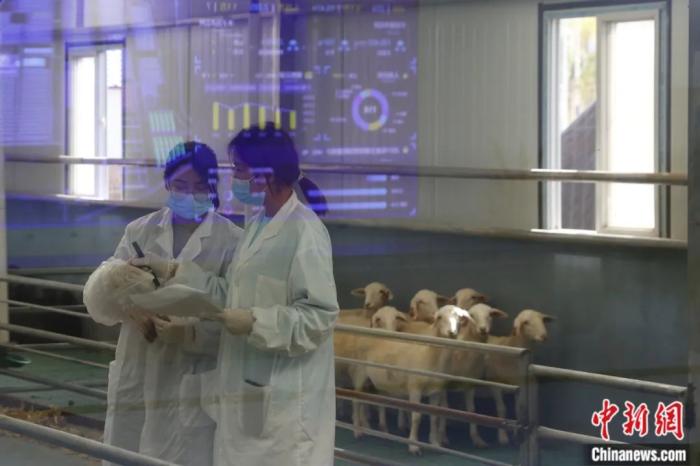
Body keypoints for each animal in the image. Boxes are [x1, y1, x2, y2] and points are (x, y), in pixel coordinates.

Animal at [363, 305, 474, 455]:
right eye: (439, 317)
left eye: (459, 317)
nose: (451, 332)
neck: (430, 354)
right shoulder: (415, 388)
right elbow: (416, 417)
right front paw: (414, 446)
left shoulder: (436, 391)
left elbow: (434, 417)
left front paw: (435, 443)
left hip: (380, 381)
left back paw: (383, 428)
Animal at [484, 309, 555, 445]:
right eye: (526, 322)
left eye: (542, 320)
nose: (544, 336)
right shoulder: (494, 383)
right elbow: (502, 408)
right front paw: (503, 437)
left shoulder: (520, 384)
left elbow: (519, 409)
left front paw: (518, 434)